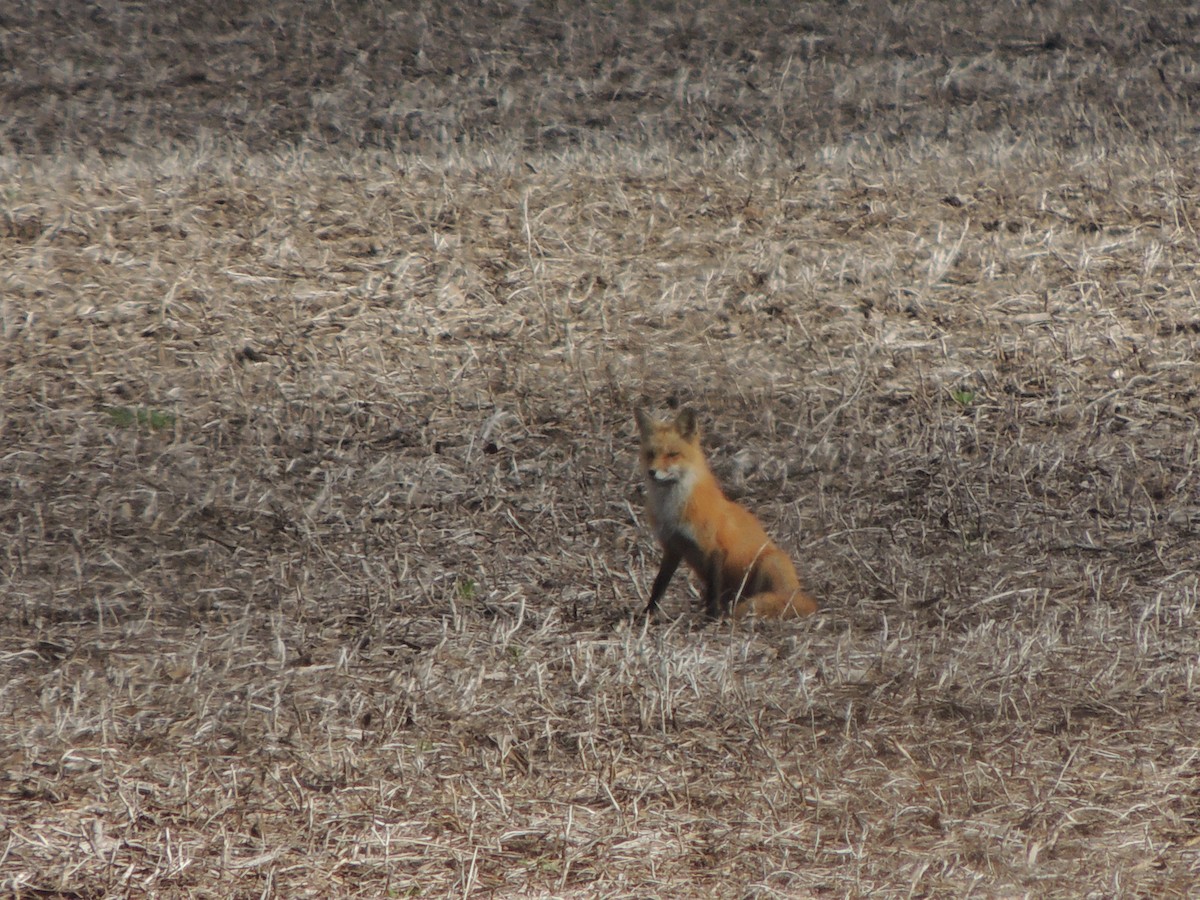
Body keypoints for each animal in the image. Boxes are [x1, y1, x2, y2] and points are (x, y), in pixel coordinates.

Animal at [635, 407, 818, 620]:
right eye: (651, 454)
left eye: (673, 454)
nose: (652, 472)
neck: (673, 508)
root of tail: (801, 596)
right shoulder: (672, 547)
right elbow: (659, 585)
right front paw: (648, 614)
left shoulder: (715, 548)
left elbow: (713, 590)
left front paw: (711, 619)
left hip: (769, 562)